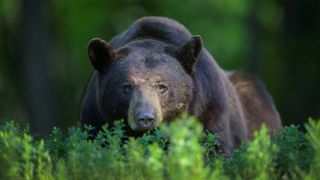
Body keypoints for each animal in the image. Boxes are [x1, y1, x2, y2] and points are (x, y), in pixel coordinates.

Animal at [79, 16, 280, 153]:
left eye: (162, 86)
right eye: (126, 87)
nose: (145, 117)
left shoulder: (211, 108)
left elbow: (216, 147)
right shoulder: (95, 115)